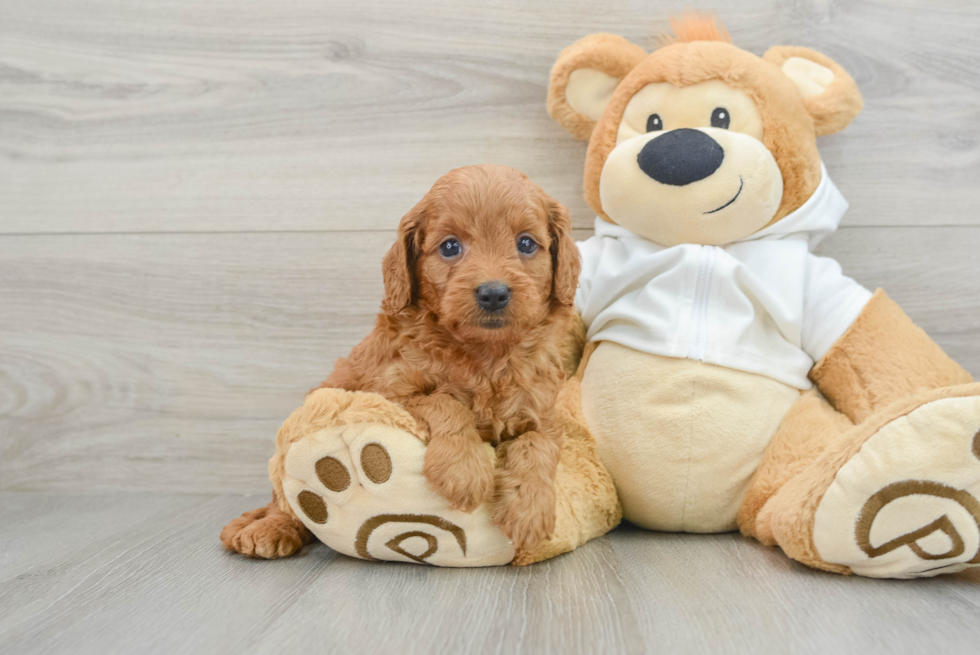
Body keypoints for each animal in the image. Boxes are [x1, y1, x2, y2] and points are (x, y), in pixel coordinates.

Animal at [218, 165, 580, 560]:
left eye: (526, 244)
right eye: (450, 246)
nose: (493, 293)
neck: (486, 353)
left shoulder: (542, 411)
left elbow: (537, 445)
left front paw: (530, 511)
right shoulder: (390, 392)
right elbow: (445, 402)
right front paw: (465, 471)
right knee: (283, 502)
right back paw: (269, 528)